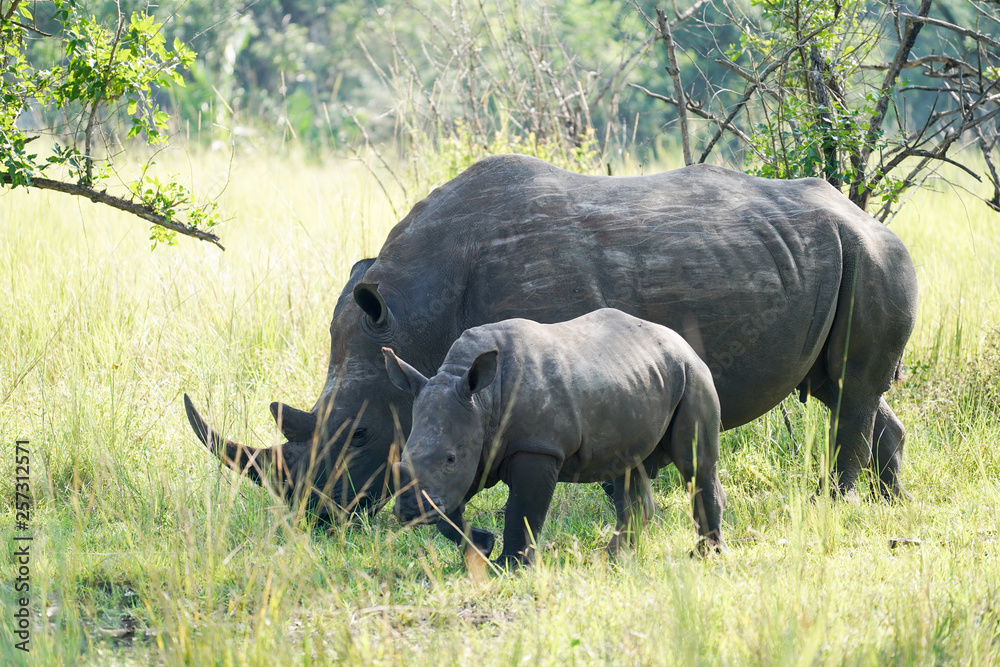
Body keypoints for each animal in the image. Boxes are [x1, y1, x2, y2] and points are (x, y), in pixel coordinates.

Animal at [184, 153, 918, 527]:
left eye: (361, 435)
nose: (319, 519)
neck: (416, 311)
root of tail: (863, 213)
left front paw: (627, 517)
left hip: (876, 253)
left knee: (848, 389)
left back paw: (836, 504)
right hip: (832, 253)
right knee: (839, 387)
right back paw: (888, 503)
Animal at [384, 309, 726, 566]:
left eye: (450, 458)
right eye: (402, 459)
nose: (408, 511)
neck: (482, 401)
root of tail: (681, 340)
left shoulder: (537, 448)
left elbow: (523, 510)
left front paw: (509, 566)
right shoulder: (475, 452)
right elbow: (447, 513)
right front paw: (483, 546)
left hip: (692, 374)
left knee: (694, 465)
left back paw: (703, 555)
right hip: (642, 377)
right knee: (631, 467)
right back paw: (611, 558)